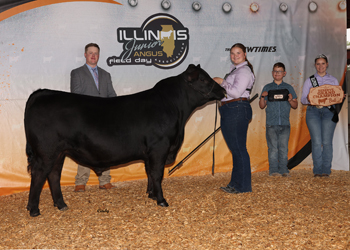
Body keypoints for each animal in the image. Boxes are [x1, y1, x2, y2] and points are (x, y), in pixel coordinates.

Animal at [25, 64, 227, 217]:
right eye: (203, 79)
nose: (223, 89)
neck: (176, 109)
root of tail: (42, 93)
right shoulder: (159, 148)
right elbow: (157, 174)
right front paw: (162, 200)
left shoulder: (150, 153)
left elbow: (149, 173)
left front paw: (151, 195)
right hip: (47, 152)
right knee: (39, 175)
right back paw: (34, 209)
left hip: (59, 152)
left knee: (53, 175)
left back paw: (61, 204)